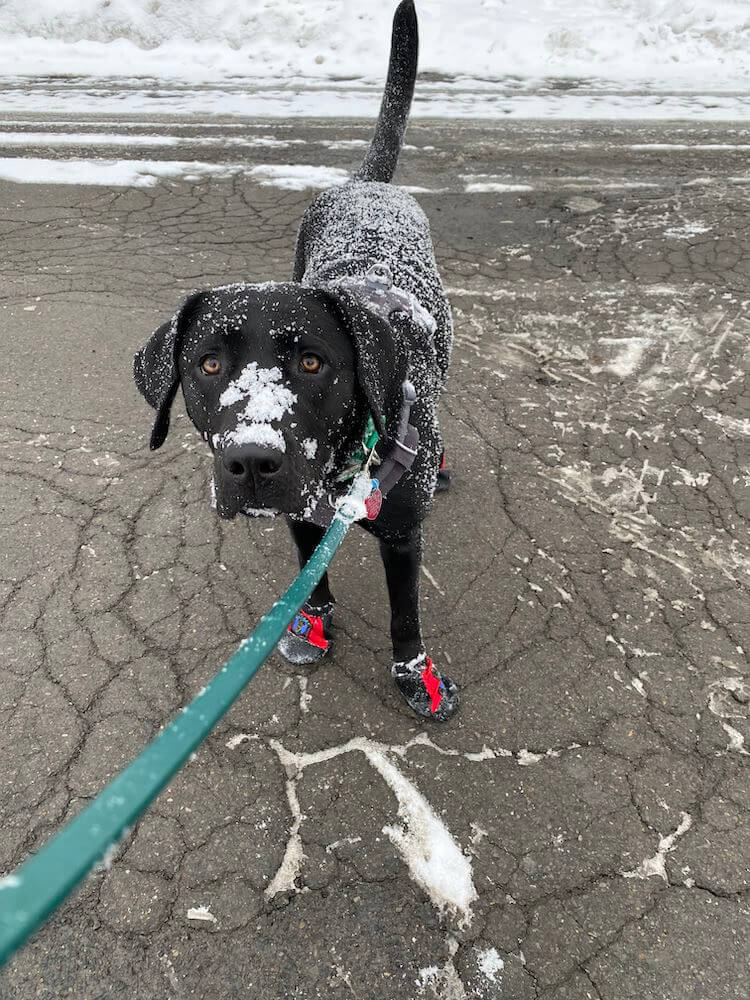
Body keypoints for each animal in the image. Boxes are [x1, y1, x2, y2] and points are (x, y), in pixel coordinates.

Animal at [135, 0, 462, 720]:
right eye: (207, 366)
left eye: (313, 363)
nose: (253, 462)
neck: (346, 466)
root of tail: (366, 187)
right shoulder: (299, 517)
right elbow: (312, 582)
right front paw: (311, 627)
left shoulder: (404, 535)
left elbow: (405, 616)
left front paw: (415, 677)